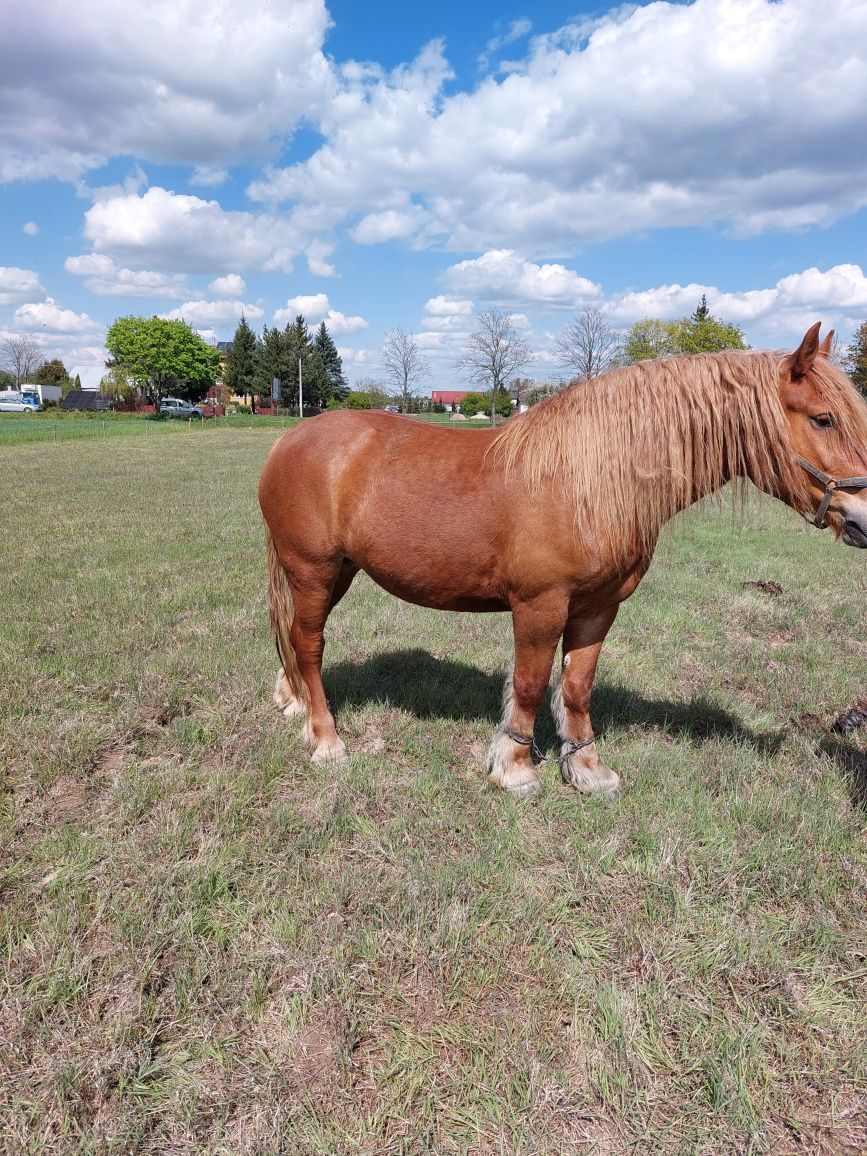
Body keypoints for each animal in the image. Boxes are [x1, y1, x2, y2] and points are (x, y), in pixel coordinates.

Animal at [257, 325, 867, 795]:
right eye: (823, 419)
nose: (863, 518)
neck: (589, 480)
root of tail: (289, 440)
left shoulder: (597, 610)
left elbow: (576, 687)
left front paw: (586, 768)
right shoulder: (540, 606)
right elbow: (530, 684)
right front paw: (515, 768)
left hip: (337, 572)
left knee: (295, 636)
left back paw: (292, 702)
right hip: (312, 570)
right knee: (309, 643)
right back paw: (327, 739)